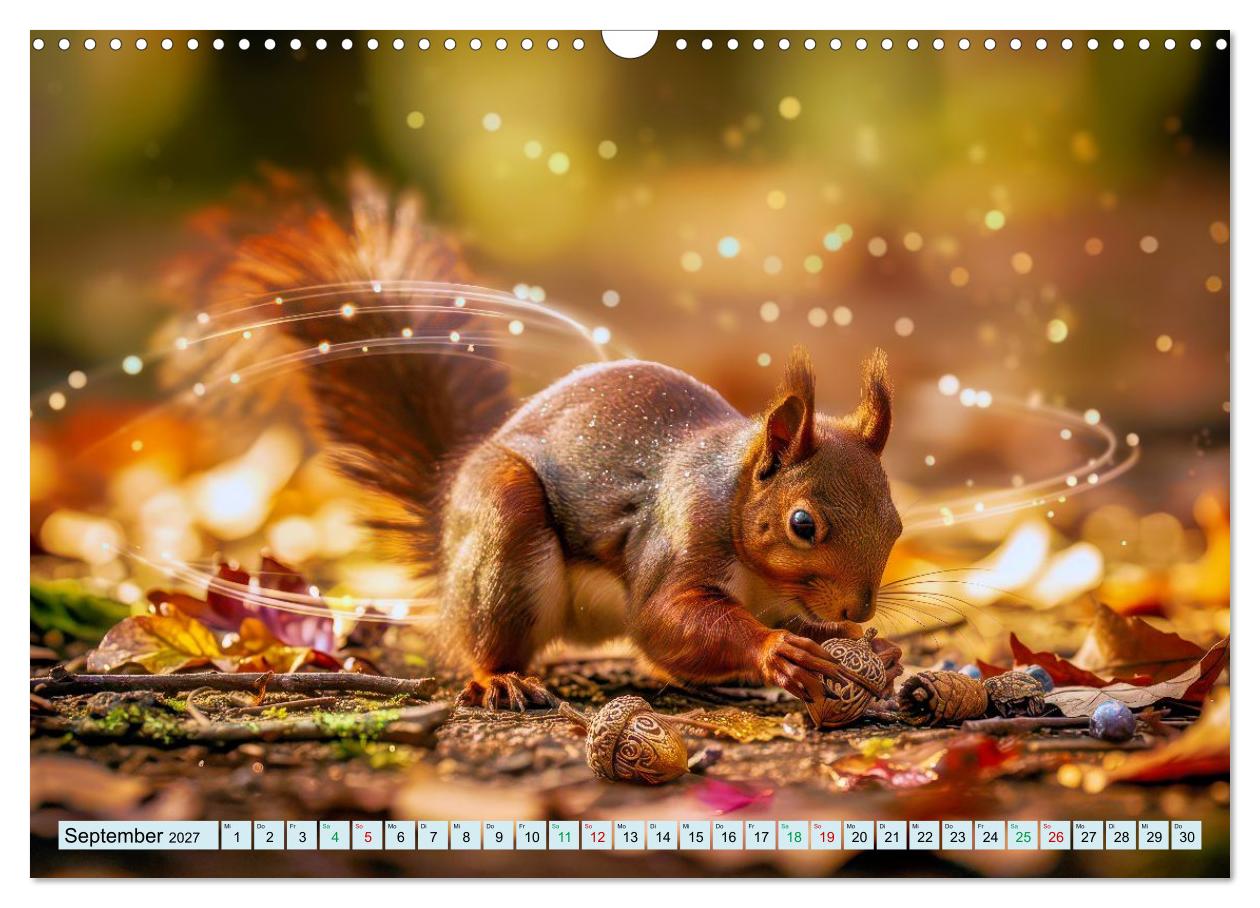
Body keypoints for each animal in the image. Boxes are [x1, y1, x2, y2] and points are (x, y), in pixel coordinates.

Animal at [172, 170, 904, 710]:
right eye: (803, 524)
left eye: (896, 524)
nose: (861, 605)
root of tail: (448, 541)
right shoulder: (682, 537)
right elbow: (663, 620)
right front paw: (776, 652)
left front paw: (869, 646)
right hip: (504, 531)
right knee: (488, 641)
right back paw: (500, 679)